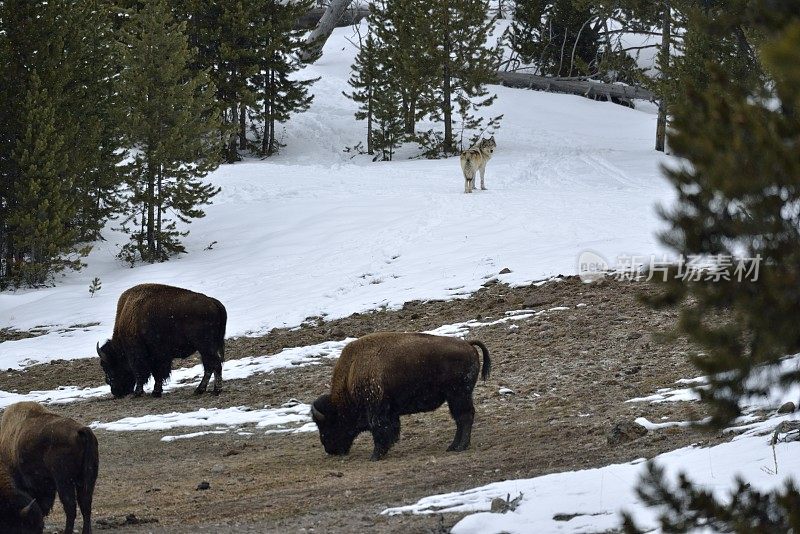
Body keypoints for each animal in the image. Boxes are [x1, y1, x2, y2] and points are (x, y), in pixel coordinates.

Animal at [98, 284, 228, 398]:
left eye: (108, 367)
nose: (116, 392)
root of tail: (213, 302)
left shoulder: (140, 356)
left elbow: (143, 374)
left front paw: (140, 393)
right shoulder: (158, 356)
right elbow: (157, 374)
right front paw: (156, 392)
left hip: (205, 346)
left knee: (215, 364)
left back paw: (215, 390)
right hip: (206, 348)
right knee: (209, 366)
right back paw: (200, 390)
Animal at [310, 332, 488, 462]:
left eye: (329, 424)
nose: (330, 449)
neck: (351, 375)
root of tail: (468, 344)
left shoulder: (376, 412)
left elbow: (379, 431)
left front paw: (374, 456)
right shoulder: (390, 412)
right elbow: (391, 430)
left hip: (458, 395)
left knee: (464, 417)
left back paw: (460, 447)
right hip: (456, 397)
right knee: (460, 419)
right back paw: (453, 446)